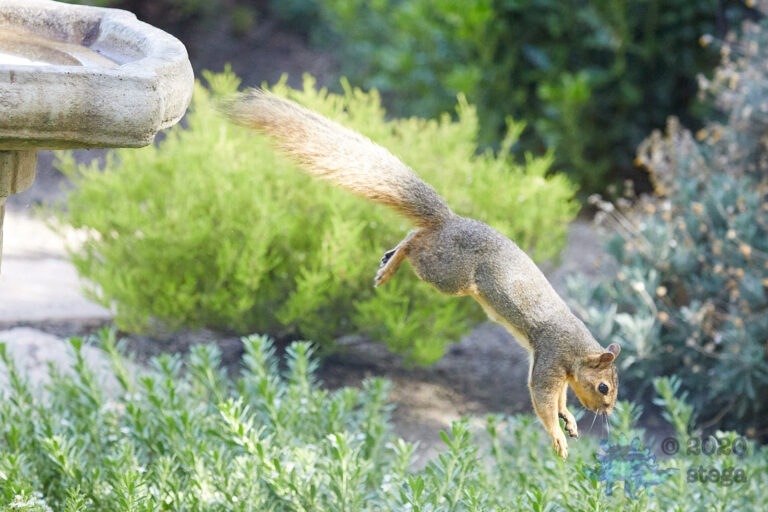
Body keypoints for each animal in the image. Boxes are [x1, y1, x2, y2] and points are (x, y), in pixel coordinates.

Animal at [224, 89, 621, 459]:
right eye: (604, 387)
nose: (607, 411)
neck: (577, 348)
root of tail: (447, 221)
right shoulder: (551, 358)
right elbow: (542, 399)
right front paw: (557, 436)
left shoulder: (555, 369)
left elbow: (558, 400)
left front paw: (568, 419)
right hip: (448, 274)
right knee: (415, 241)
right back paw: (393, 262)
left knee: (415, 234)